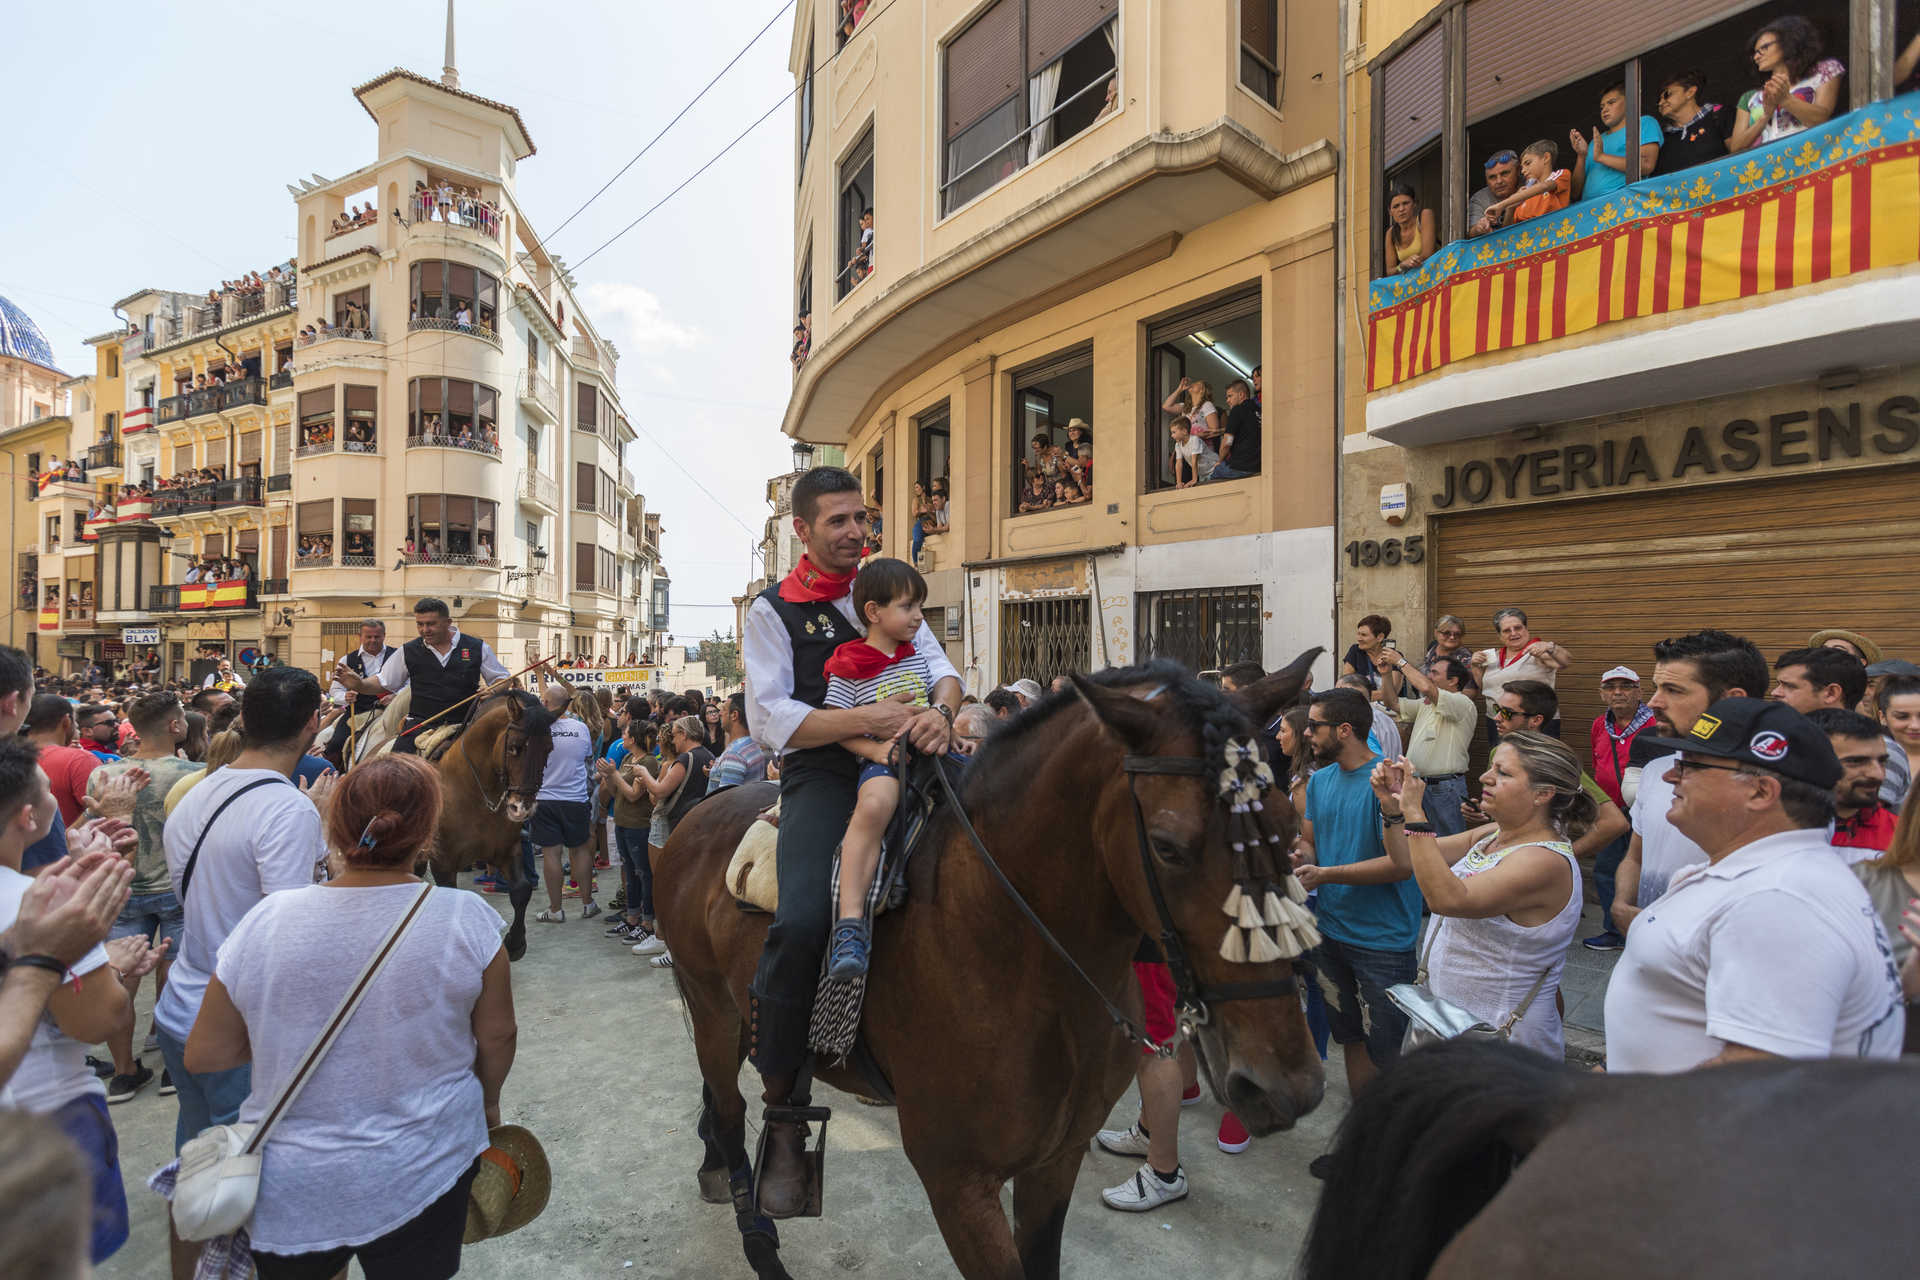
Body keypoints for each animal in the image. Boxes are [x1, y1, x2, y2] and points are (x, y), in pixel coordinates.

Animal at [652, 656, 1328, 1274]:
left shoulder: (1056, 1162)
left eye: (1287, 826)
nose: (1286, 1086)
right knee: (731, 1106)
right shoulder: (958, 1181)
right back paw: (758, 1235)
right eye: (1168, 847)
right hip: (713, 1010)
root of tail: (702, 812)